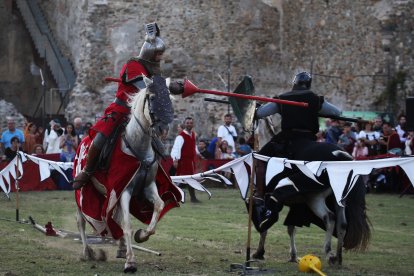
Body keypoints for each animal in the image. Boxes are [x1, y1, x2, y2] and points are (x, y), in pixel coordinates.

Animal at [73, 76, 180, 272]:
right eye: (152, 97)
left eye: (169, 99)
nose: (163, 130)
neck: (137, 145)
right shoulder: (123, 190)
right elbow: (127, 225)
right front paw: (130, 261)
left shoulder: (147, 187)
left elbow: (159, 206)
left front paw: (142, 235)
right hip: (82, 192)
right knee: (81, 220)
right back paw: (87, 252)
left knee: (113, 218)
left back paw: (121, 247)